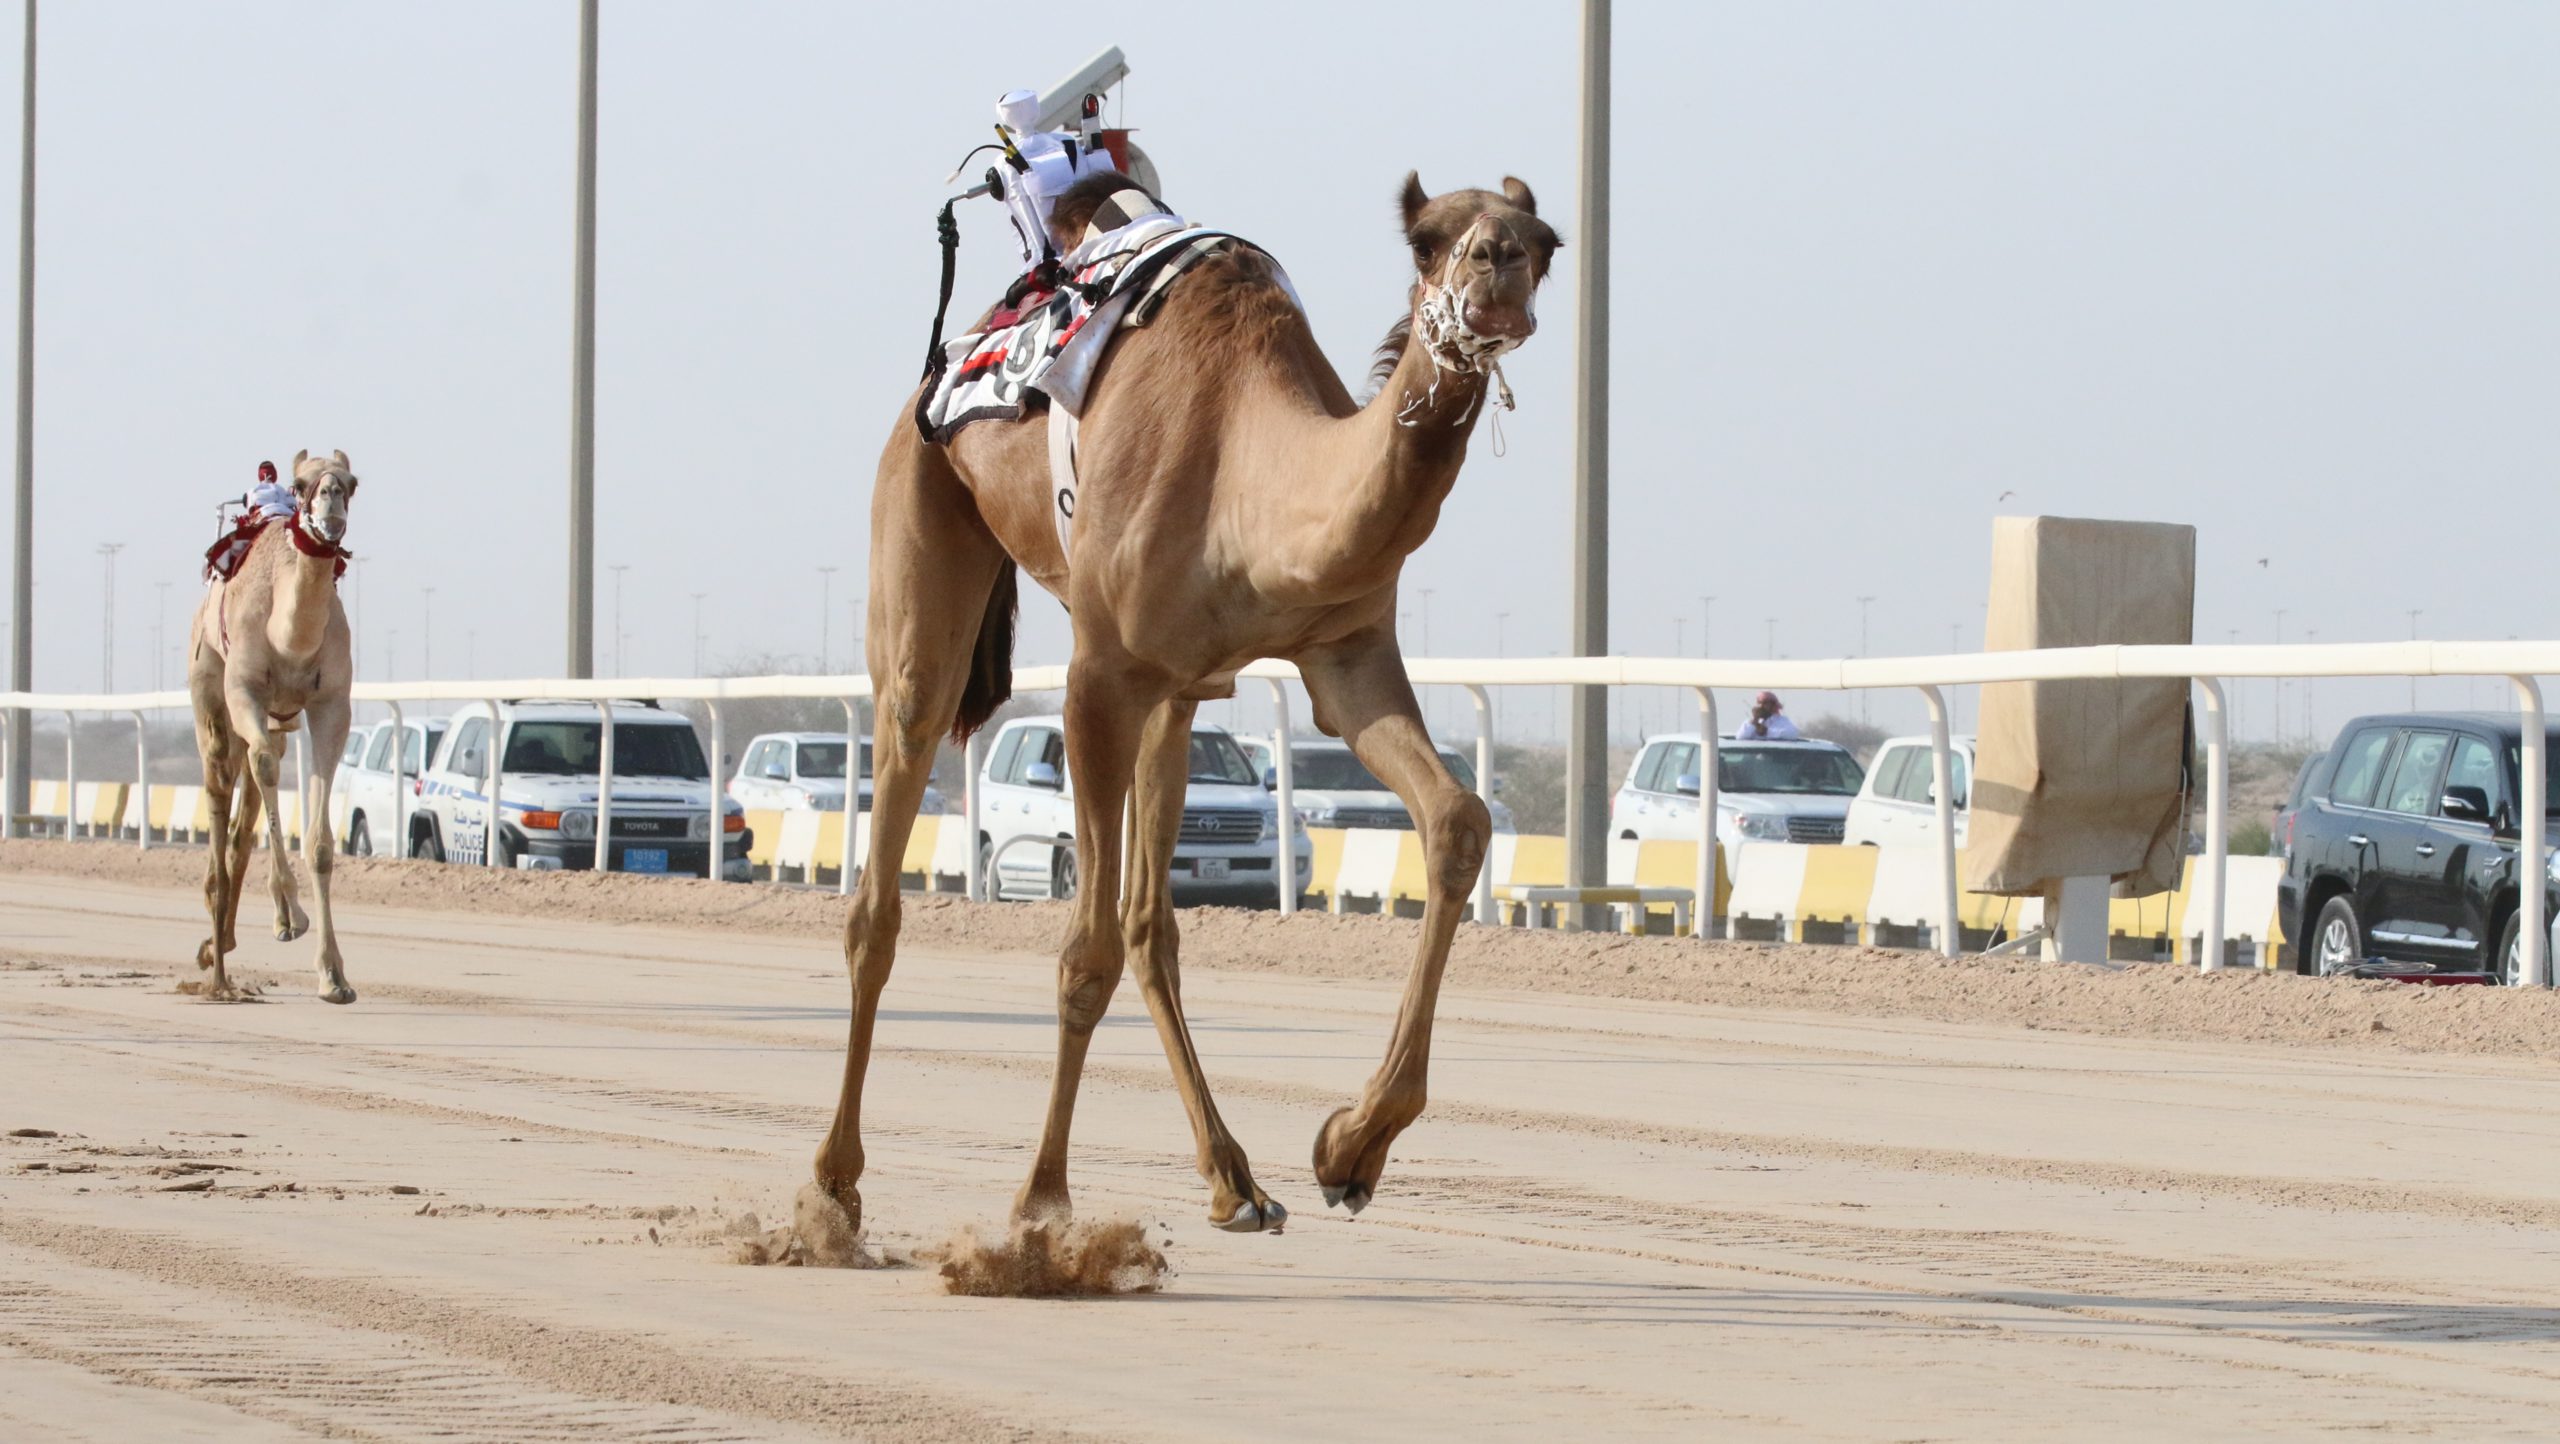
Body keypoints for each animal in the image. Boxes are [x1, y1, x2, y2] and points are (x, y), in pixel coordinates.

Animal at [186, 450, 360, 1003]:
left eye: (351, 482)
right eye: (302, 484)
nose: (330, 503)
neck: (289, 640)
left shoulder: (331, 706)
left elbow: (321, 843)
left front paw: (334, 976)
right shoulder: (244, 690)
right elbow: (261, 766)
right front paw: (293, 915)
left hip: (280, 718)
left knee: (247, 807)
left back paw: (220, 943)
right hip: (209, 689)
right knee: (222, 781)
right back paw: (218, 965)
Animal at [819, 166, 1546, 1228]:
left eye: (1549, 241)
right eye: (1426, 238)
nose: (1500, 270)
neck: (1246, 462)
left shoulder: (1343, 654)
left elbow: (1458, 819)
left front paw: (1350, 1147)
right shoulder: (1097, 677)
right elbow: (1082, 952)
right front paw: (1042, 1207)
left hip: (1177, 693)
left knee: (1149, 922)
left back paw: (1235, 1179)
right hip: (920, 516)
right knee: (887, 865)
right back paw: (834, 1184)